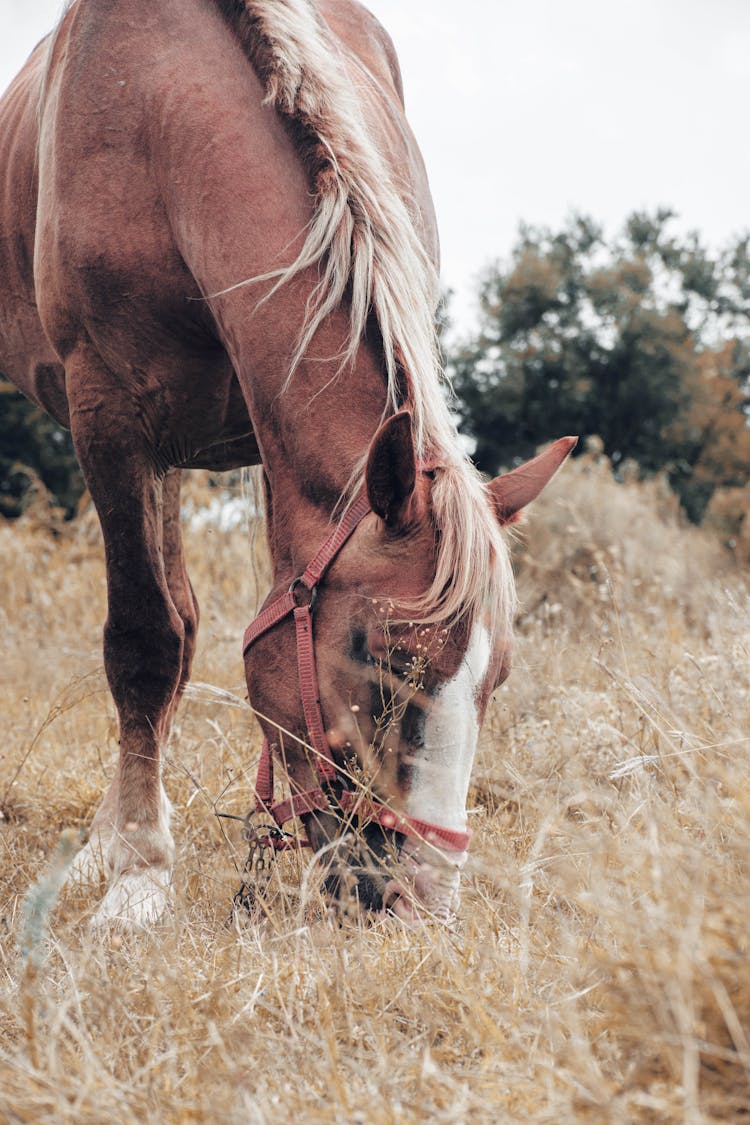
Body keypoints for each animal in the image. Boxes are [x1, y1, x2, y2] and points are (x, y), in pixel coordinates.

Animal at [0, 0, 575, 927]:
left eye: (500, 676)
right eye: (385, 657)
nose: (423, 902)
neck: (161, 115)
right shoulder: (110, 416)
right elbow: (143, 641)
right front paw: (138, 872)